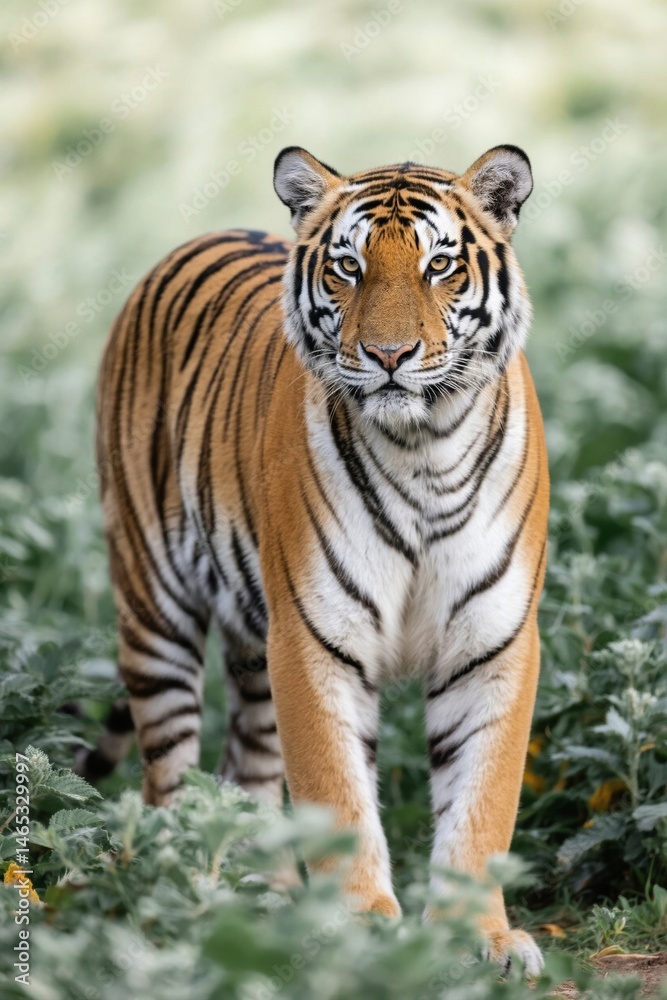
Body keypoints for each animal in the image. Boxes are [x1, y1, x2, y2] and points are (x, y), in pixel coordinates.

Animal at [93, 144, 549, 975]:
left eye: (439, 266)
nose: (390, 355)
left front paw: (482, 938)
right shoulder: (315, 639)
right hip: (153, 606)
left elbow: (481, 800)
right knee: (168, 775)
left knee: (245, 775)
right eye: (348, 266)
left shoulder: (491, 641)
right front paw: (363, 931)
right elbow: (337, 796)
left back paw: (259, 902)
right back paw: (181, 902)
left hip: (252, 645)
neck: (424, 450)